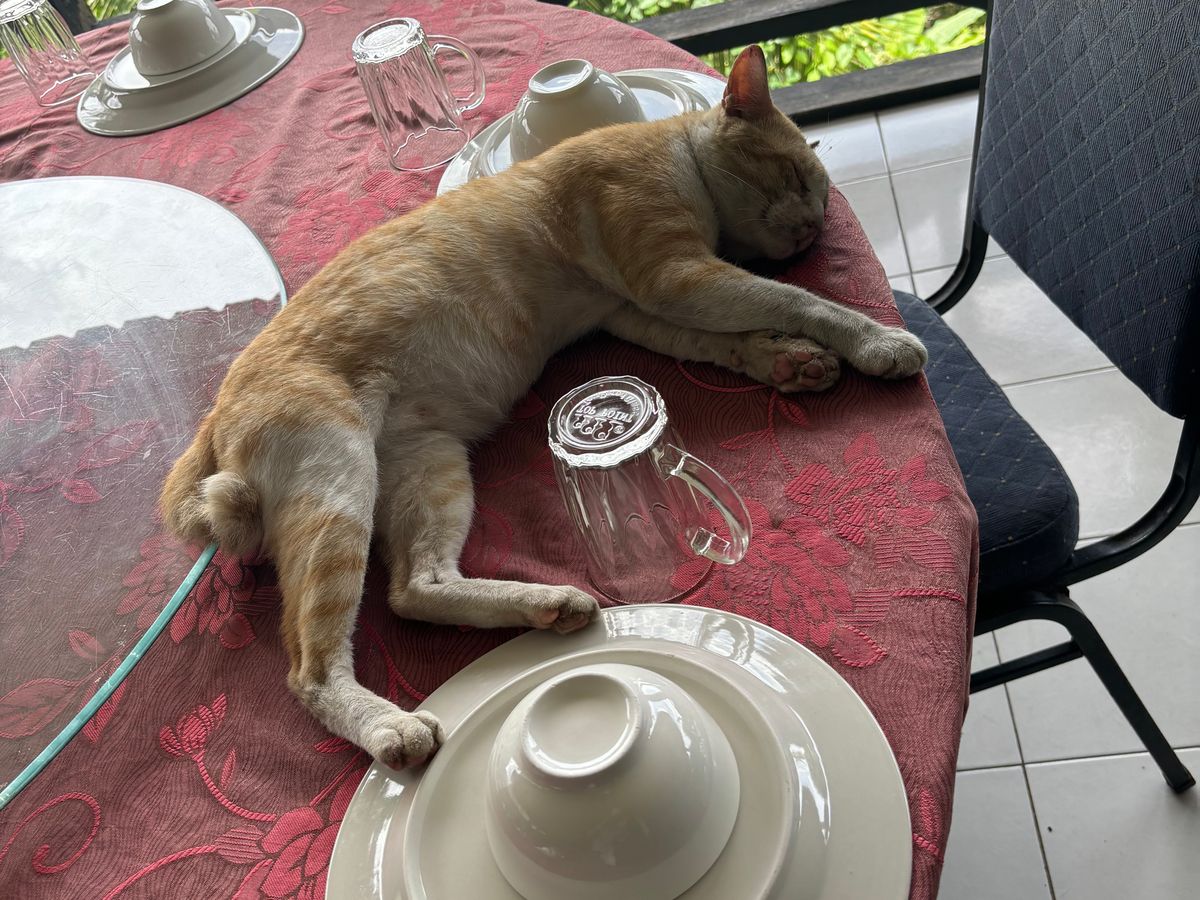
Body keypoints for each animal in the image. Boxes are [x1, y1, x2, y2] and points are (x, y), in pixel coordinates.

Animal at [160, 45, 927, 770]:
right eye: (799, 178)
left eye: (820, 199)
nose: (812, 231)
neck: (674, 153)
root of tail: (211, 418)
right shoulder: (677, 277)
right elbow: (801, 301)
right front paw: (878, 340)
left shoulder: (638, 308)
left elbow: (733, 342)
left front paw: (790, 361)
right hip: (338, 486)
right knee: (311, 667)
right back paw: (390, 726)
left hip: (428, 469)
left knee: (415, 587)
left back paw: (548, 604)